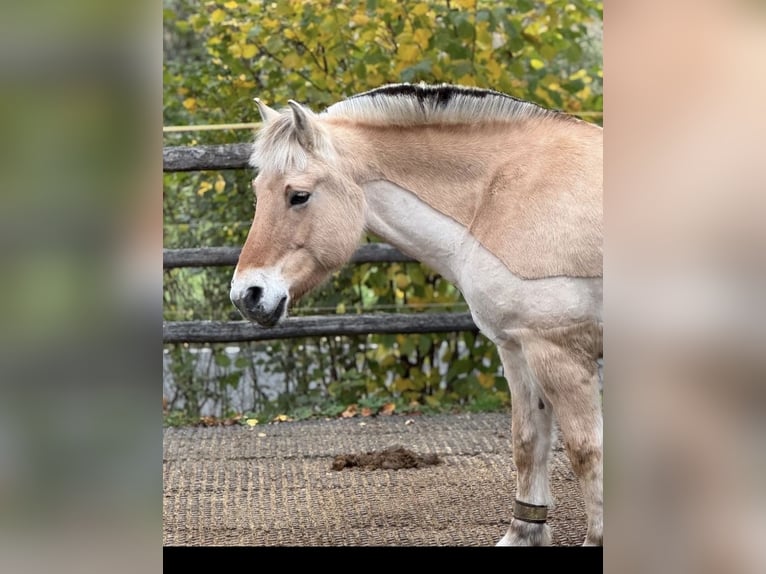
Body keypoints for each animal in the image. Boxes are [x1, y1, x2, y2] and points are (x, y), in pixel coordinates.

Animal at [229, 83, 603, 546]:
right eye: (259, 190)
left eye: (298, 195)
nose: (247, 295)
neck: (503, 193)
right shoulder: (517, 349)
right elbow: (527, 441)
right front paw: (523, 532)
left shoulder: (560, 353)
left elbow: (586, 451)